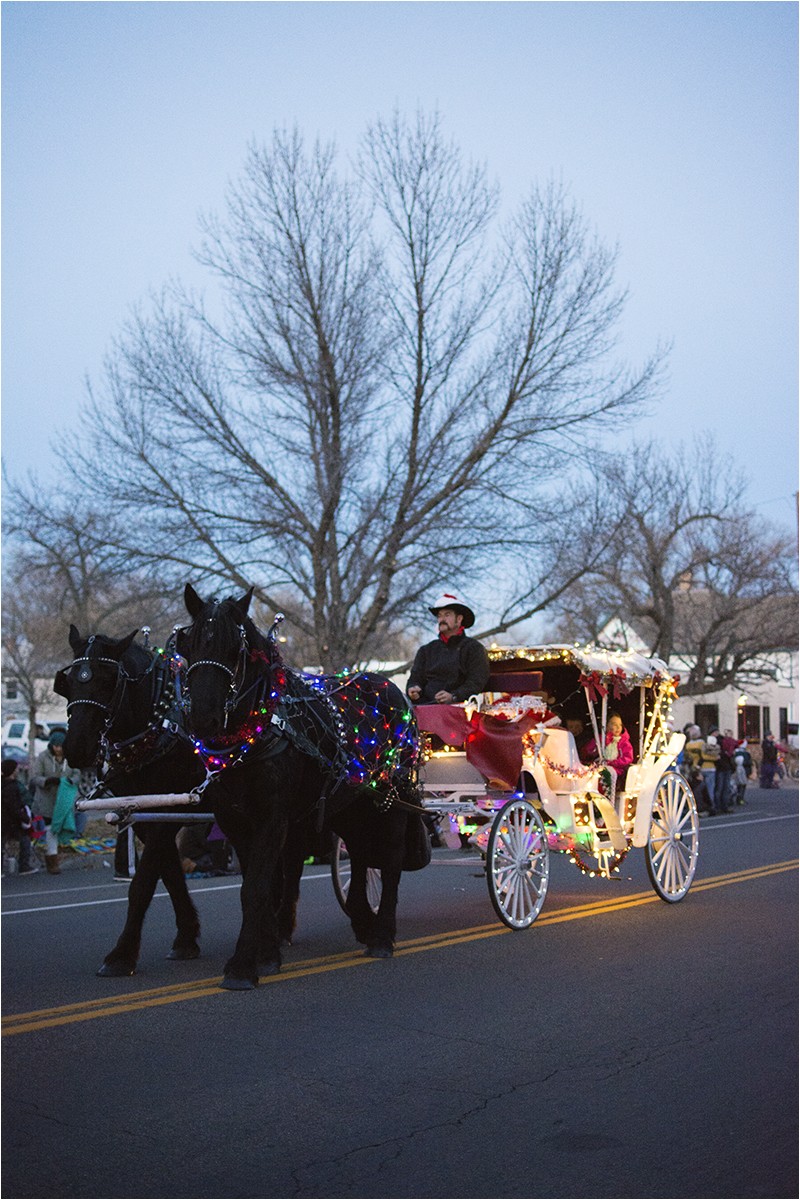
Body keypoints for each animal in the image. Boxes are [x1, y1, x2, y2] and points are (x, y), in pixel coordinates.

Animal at [55, 628, 208, 974]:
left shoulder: (169, 806)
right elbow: (170, 873)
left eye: (108, 680)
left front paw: (121, 954)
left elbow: (142, 882)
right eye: (68, 682)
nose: (78, 747)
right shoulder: (144, 813)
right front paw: (186, 938)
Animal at [176, 585, 424, 988]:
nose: (203, 717)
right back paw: (364, 923)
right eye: (189, 646)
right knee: (359, 855)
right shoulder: (234, 822)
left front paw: (242, 966)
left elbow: (256, 887)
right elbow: (260, 885)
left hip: (391, 796)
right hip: (352, 803)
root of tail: (391, 688)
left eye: (235, 650)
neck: (258, 731)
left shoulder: (273, 818)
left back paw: (383, 935)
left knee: (389, 859)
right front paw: (266, 954)